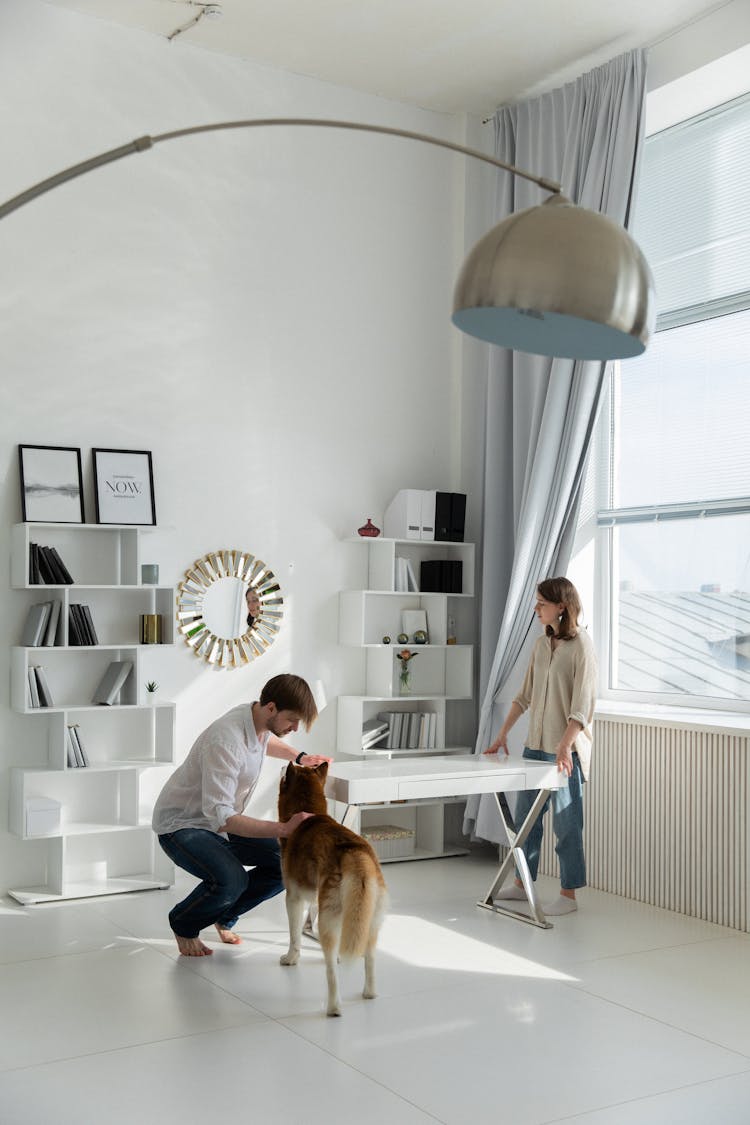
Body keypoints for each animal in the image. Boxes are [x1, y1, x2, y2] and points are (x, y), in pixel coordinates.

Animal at [278, 760, 391, 1017]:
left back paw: (333, 1007)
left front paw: (291, 958)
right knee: (370, 959)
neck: (309, 814)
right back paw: (369, 993)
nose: (283, 766)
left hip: (330, 919)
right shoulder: (314, 899)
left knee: (331, 973)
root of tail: (355, 852)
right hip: (371, 921)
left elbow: (294, 935)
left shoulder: (293, 898)